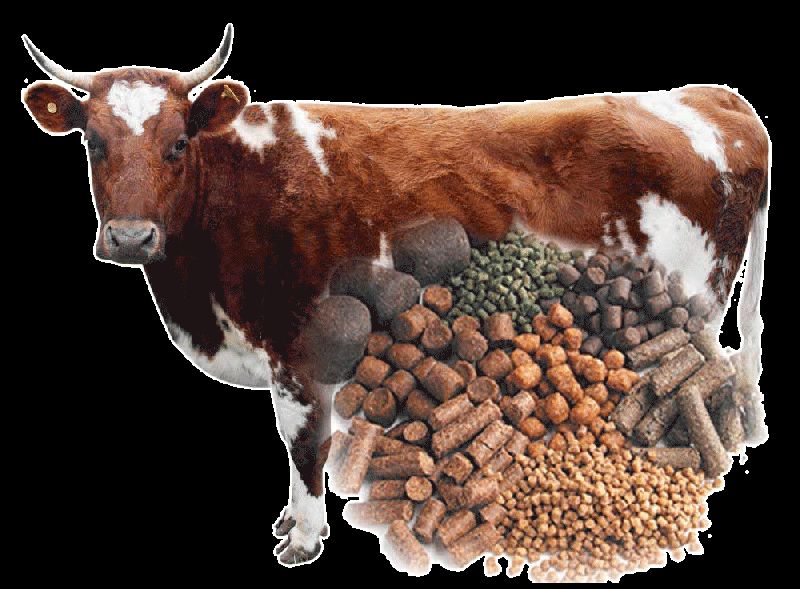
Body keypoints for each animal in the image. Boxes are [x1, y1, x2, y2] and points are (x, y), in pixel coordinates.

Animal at [21, 24, 769, 567]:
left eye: (178, 143)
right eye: (92, 142)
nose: (129, 236)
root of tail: (709, 97)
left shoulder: (299, 351)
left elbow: (303, 445)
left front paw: (303, 535)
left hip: (694, 305)